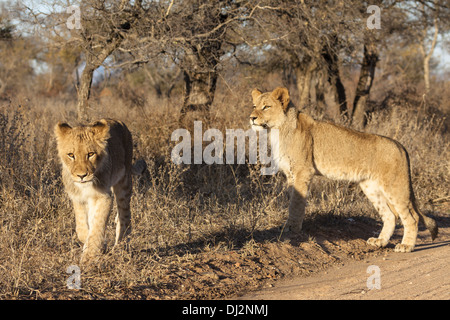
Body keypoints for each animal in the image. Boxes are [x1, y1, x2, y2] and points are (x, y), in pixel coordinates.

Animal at [54, 119, 146, 264]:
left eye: (91, 154)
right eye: (71, 155)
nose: (82, 176)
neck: (85, 186)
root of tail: (119, 122)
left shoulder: (103, 197)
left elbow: (97, 225)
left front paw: (89, 256)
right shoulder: (77, 198)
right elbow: (82, 227)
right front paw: (95, 245)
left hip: (124, 182)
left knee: (125, 217)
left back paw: (120, 248)